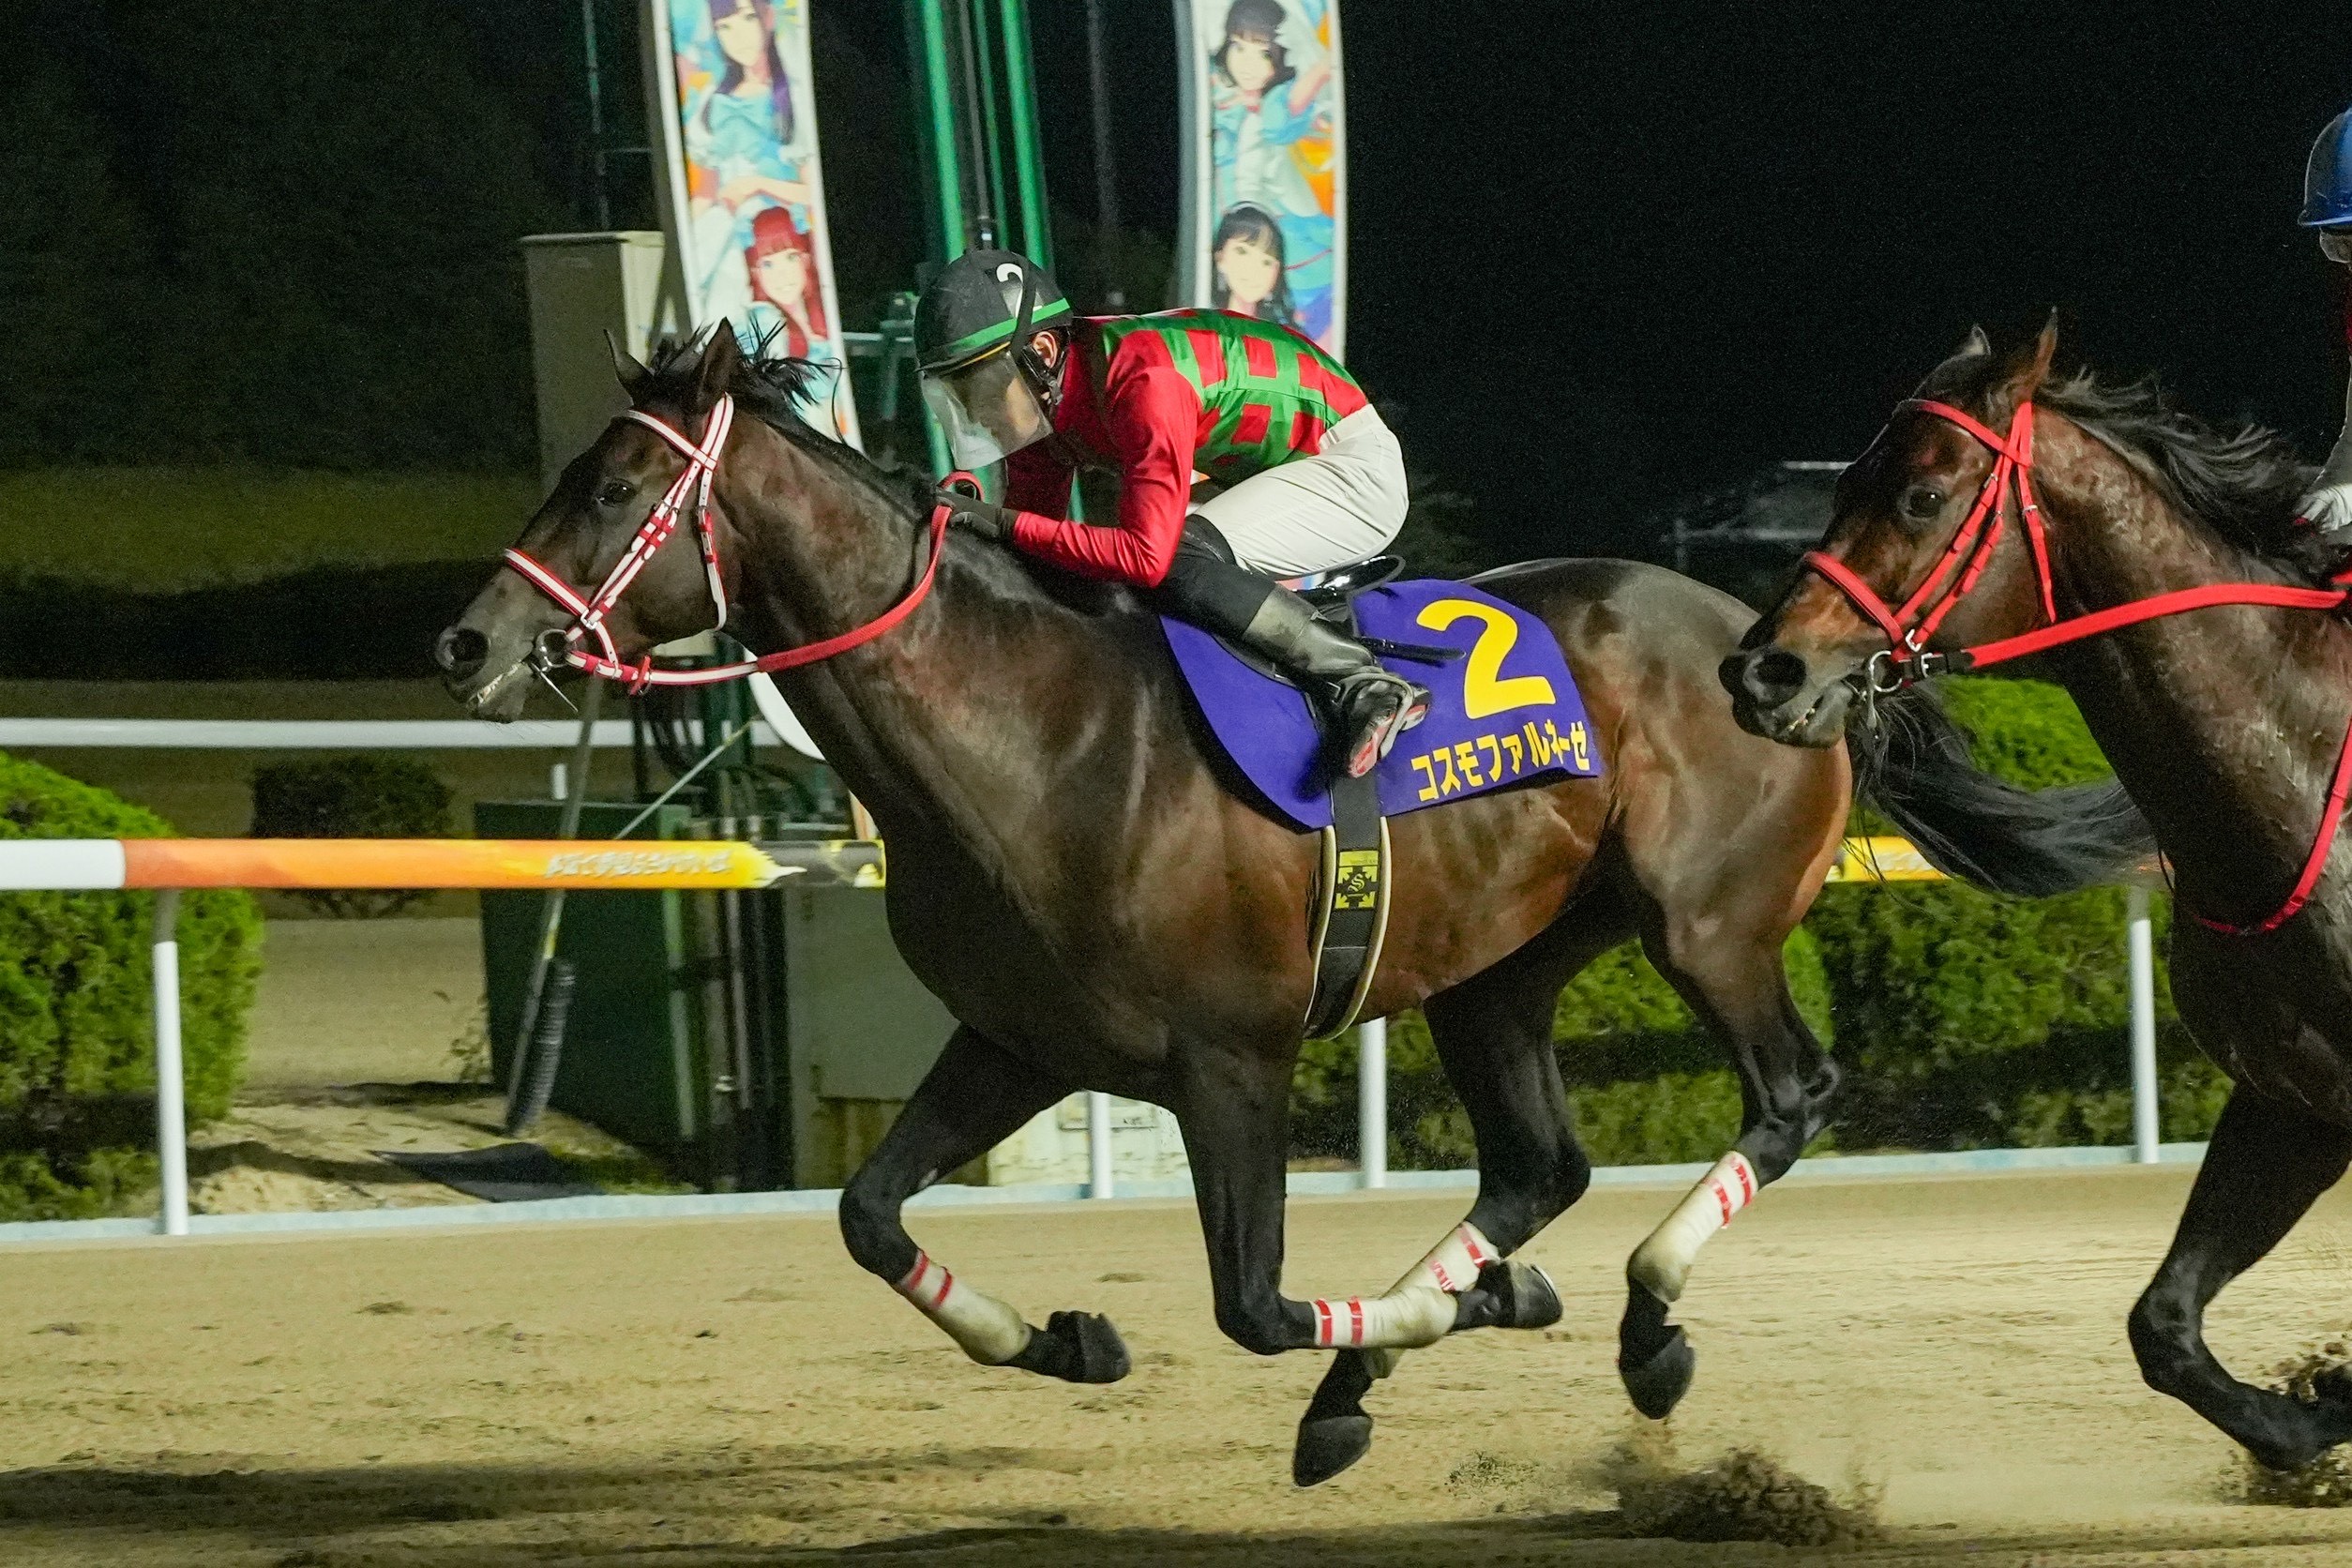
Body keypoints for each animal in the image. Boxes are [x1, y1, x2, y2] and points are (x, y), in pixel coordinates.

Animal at [435, 327, 2138, 1484]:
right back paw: (1392, 1363)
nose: (466, 641)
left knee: (1788, 1092)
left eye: (614, 483)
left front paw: (1448, 1326)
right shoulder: (1018, 1037)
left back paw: (1634, 1328)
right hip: (1500, 969)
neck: (1029, 732)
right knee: (1538, 1164)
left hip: (1703, 926)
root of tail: (1779, 643)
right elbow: (866, 1215)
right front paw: (1063, 1339)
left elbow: (1252, 1303)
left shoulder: (1229, 1060)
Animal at [1724, 320, 2352, 1471]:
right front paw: (2315, 1413)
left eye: (1921, 496)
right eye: (1844, 484)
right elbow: (2163, 1329)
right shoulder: (2294, 1099)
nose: (1764, 672)